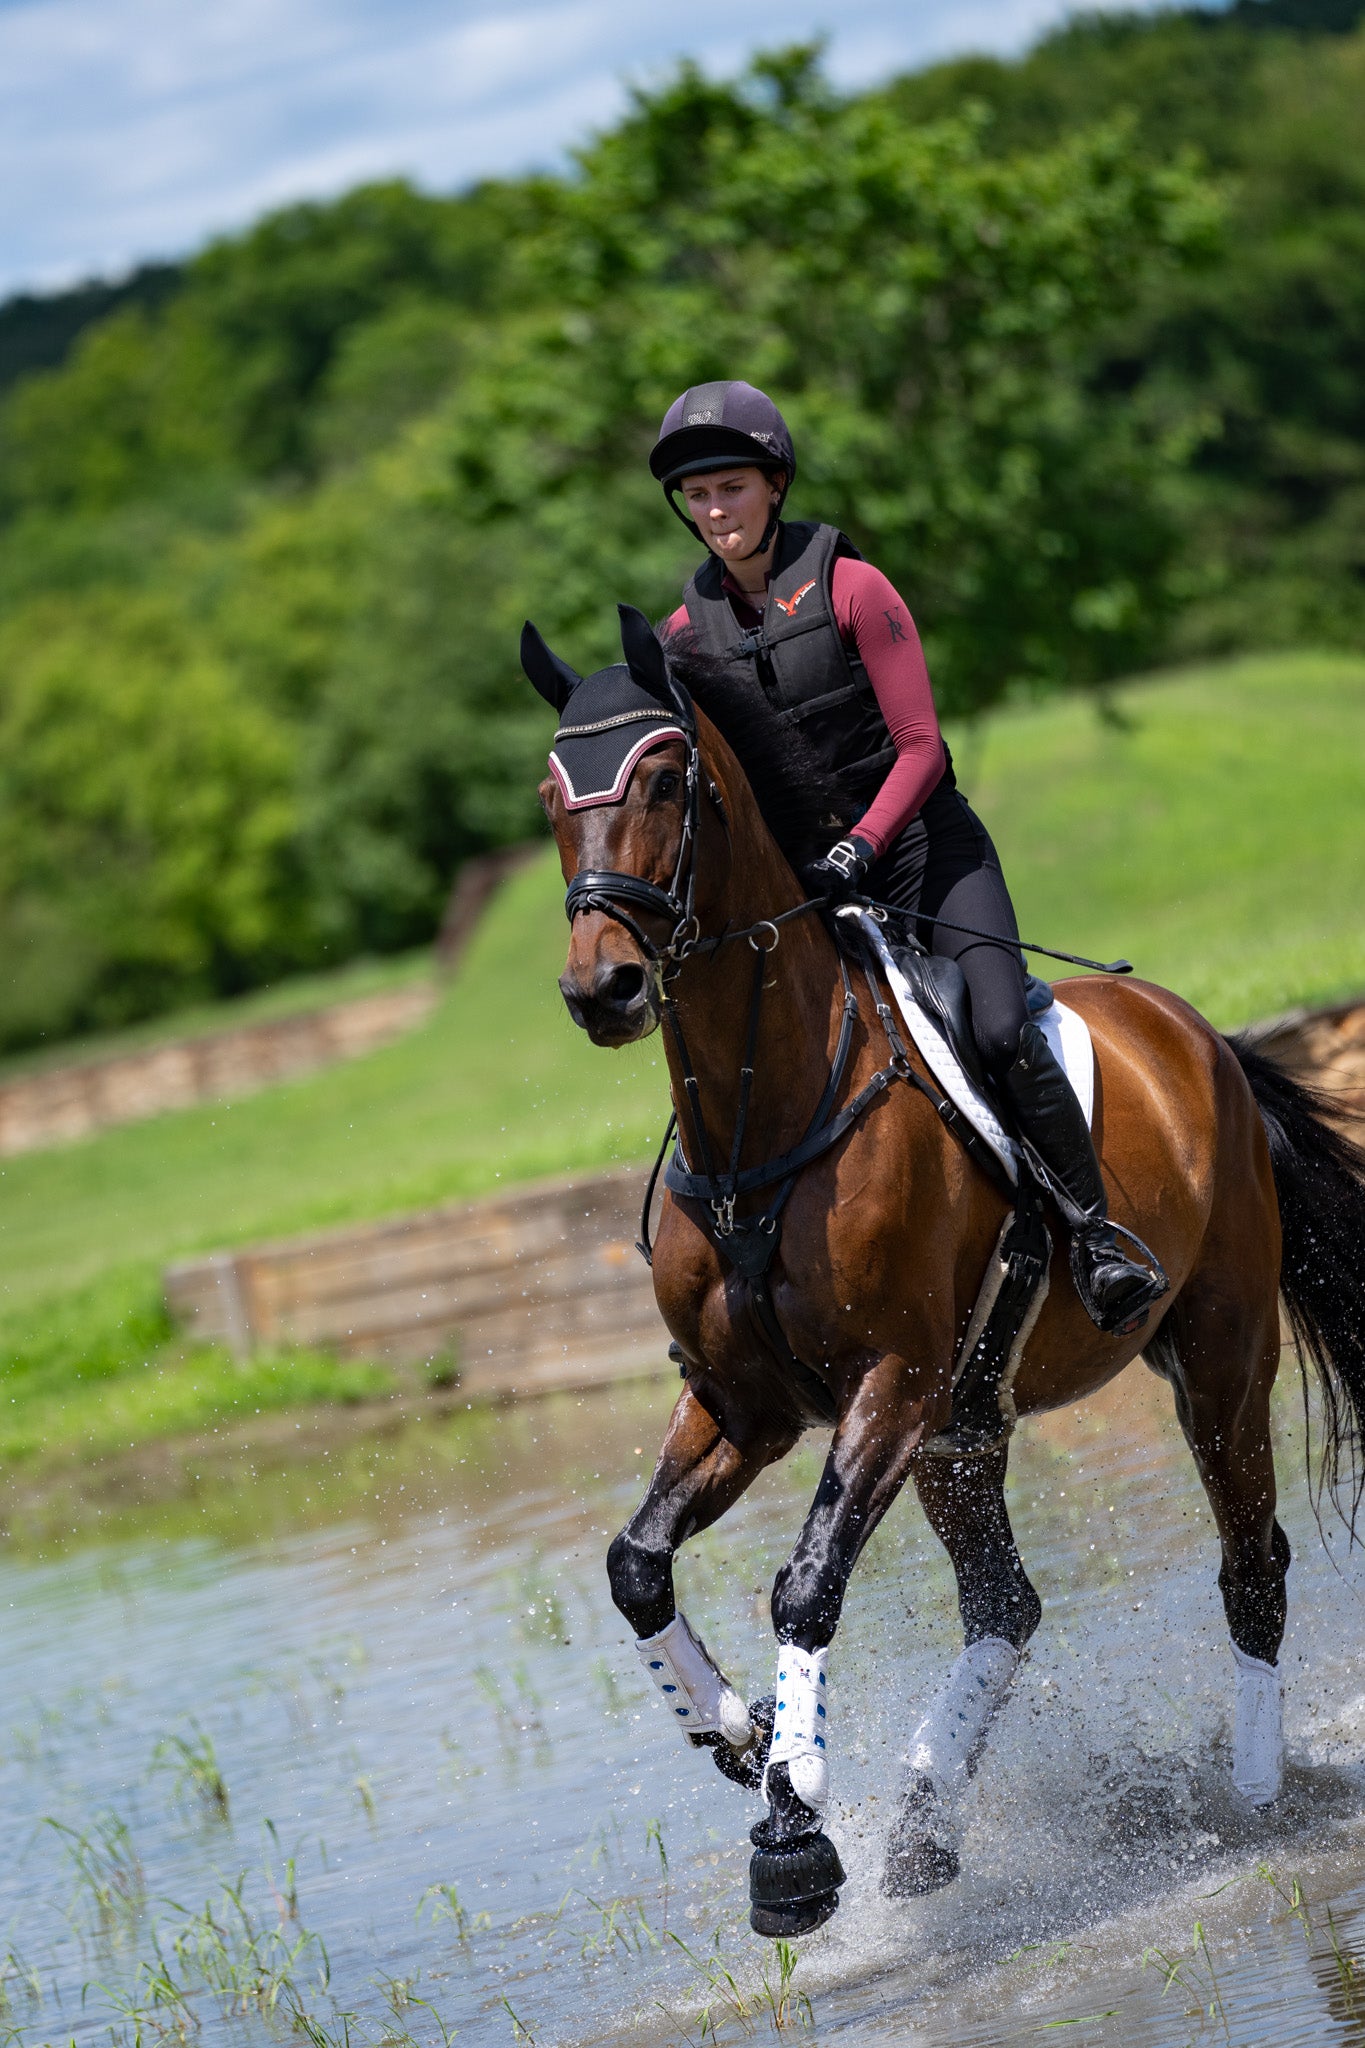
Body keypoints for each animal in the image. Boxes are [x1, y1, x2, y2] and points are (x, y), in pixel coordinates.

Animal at [519, 602, 1365, 1933]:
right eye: (553, 790)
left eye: (662, 776)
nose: (599, 985)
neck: (765, 1111)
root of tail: (1202, 1038)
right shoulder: (745, 1401)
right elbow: (635, 1563)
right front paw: (738, 1731)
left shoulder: (891, 1380)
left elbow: (807, 1583)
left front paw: (793, 1832)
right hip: (964, 1431)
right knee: (1007, 1603)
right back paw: (925, 1822)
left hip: (1217, 1354)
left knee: (1252, 1566)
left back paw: (1257, 1793)